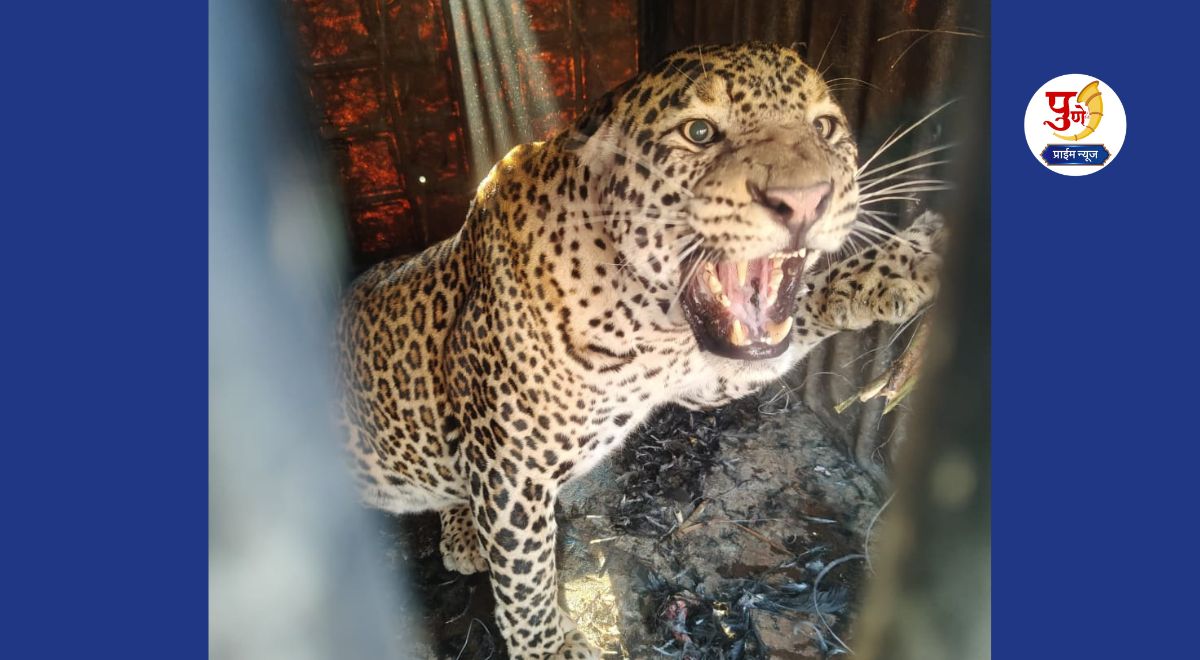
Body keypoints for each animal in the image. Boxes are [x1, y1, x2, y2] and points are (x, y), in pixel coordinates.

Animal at [337, 42, 943, 658]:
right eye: (699, 132)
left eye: (825, 127)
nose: (804, 201)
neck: (645, 318)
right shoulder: (509, 470)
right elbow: (526, 579)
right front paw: (549, 648)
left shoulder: (704, 376)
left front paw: (909, 260)